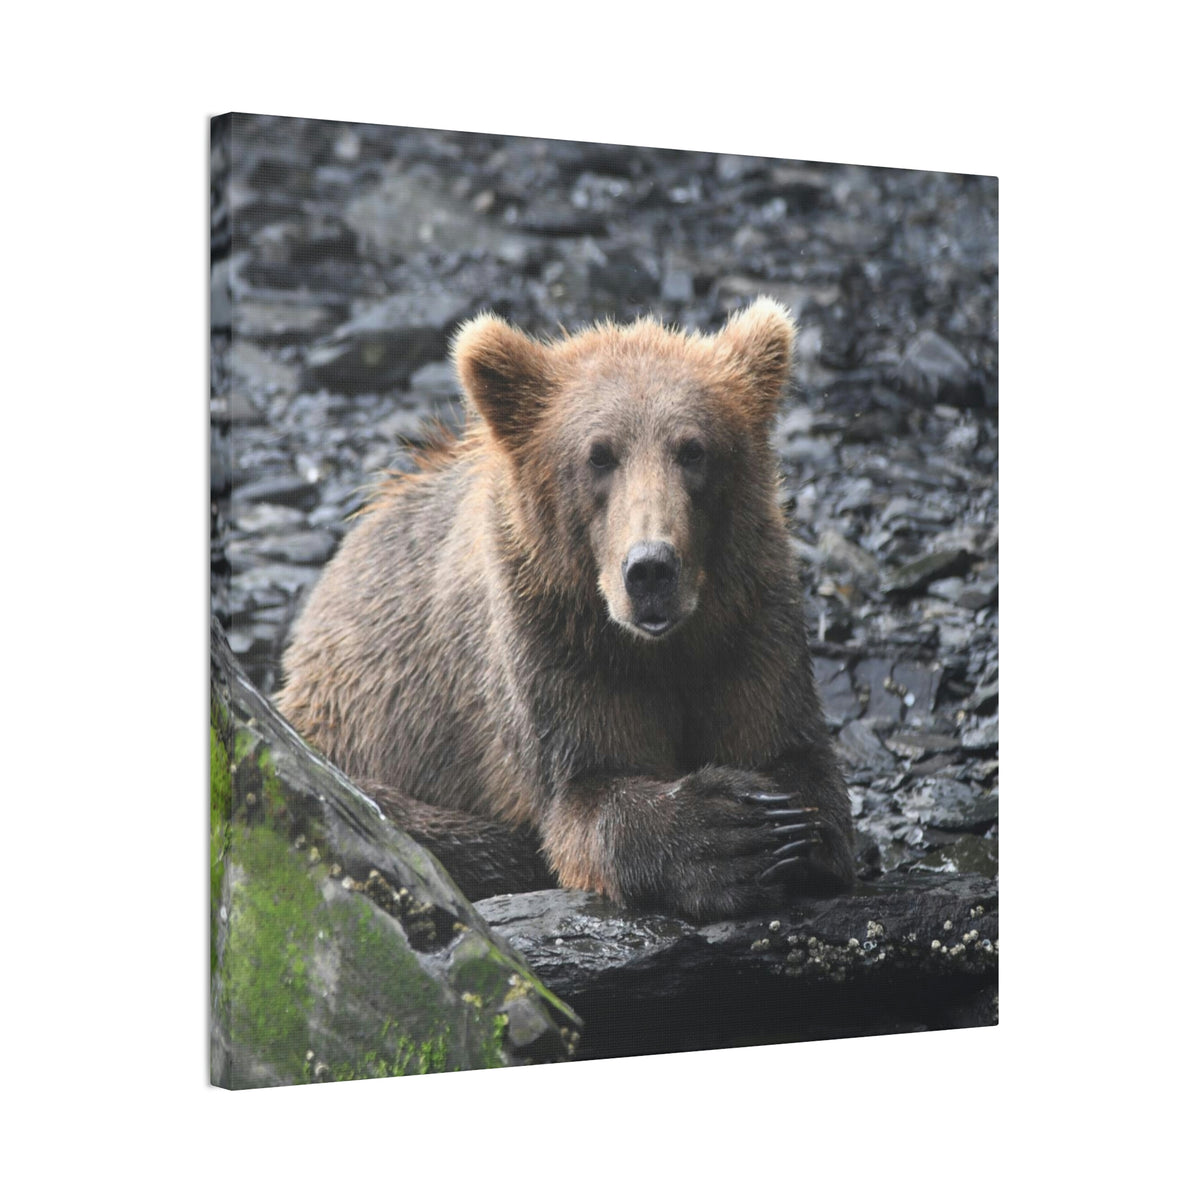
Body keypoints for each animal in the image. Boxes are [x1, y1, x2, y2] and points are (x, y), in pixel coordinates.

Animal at [277, 298, 856, 920]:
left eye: (693, 449)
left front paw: (789, 827)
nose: (650, 569)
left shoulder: (748, 620)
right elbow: (586, 792)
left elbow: (791, 750)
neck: (658, 646)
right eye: (599, 455)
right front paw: (728, 833)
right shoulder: (552, 642)